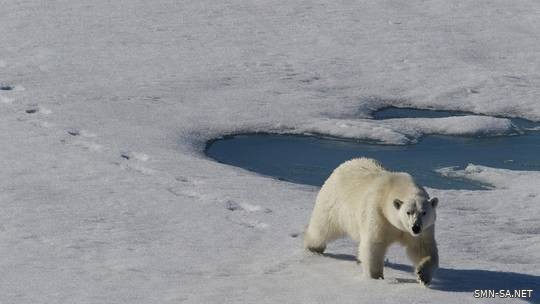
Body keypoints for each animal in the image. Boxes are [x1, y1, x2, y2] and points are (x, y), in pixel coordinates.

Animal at [304, 158, 438, 284]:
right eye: (408, 212)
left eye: (424, 212)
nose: (416, 227)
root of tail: (343, 165)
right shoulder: (378, 213)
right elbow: (374, 244)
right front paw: (376, 277)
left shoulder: (423, 229)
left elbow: (421, 247)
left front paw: (422, 275)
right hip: (334, 202)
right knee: (323, 227)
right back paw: (313, 248)